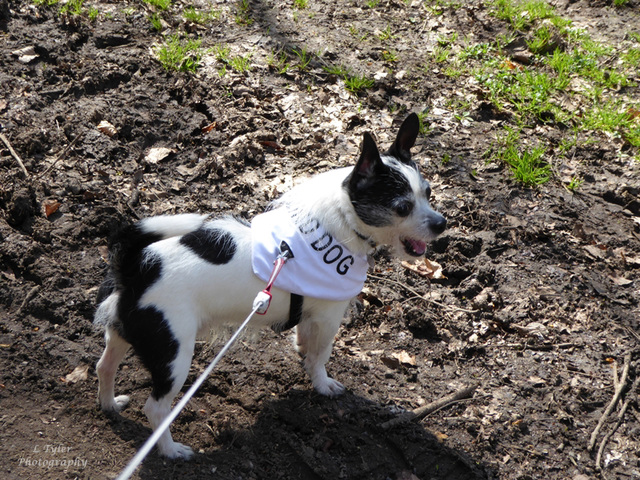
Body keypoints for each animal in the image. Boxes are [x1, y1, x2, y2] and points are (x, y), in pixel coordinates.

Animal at [94, 111, 444, 458]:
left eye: (428, 193)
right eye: (402, 207)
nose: (441, 224)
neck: (341, 222)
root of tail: (135, 267)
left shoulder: (310, 315)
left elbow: (305, 340)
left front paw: (302, 354)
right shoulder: (329, 319)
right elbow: (320, 357)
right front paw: (322, 384)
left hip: (123, 333)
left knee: (104, 367)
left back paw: (109, 404)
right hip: (174, 355)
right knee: (155, 408)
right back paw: (170, 450)